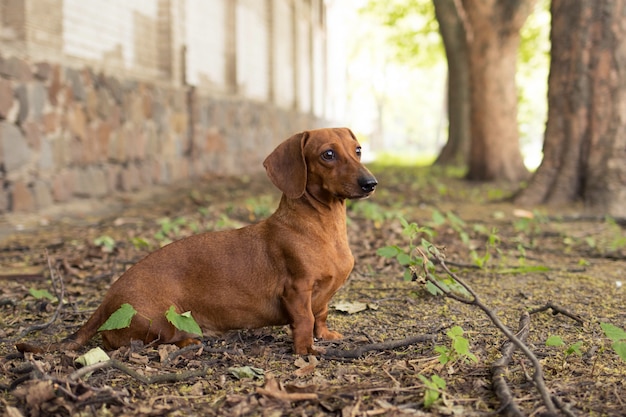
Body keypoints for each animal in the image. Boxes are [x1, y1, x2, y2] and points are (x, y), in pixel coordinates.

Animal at [15, 127, 376, 354]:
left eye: (357, 150)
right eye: (327, 154)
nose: (370, 183)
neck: (322, 227)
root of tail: (106, 301)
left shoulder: (321, 297)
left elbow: (321, 314)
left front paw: (325, 336)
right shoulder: (297, 291)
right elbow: (303, 320)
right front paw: (306, 351)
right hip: (161, 320)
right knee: (148, 342)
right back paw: (189, 343)